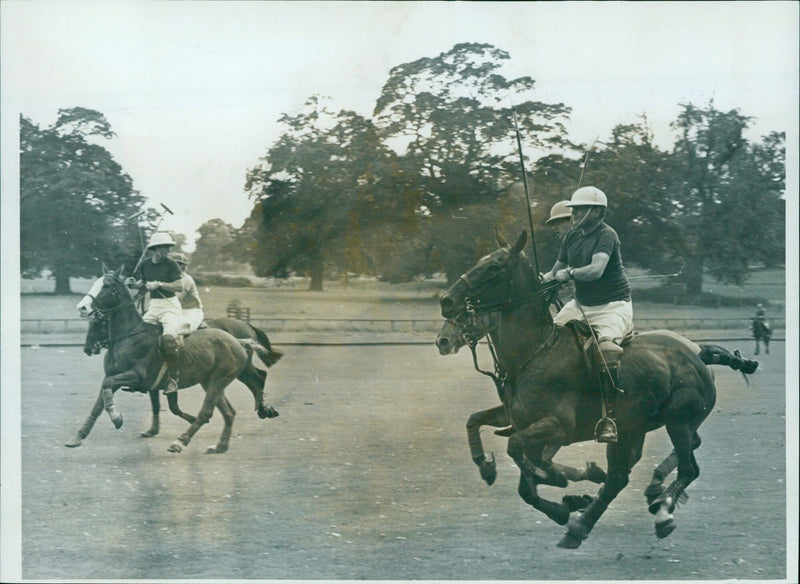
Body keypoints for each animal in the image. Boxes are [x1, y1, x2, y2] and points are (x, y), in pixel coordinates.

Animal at [64, 266, 280, 454]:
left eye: (107, 285)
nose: (82, 307)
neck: (129, 336)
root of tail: (239, 340)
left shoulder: (138, 376)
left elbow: (112, 390)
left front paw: (117, 417)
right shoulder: (122, 378)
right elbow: (100, 401)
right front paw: (78, 437)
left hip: (222, 378)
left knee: (220, 403)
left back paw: (181, 441)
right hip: (210, 381)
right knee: (229, 412)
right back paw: (220, 446)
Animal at [440, 232, 760, 548]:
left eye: (494, 266)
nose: (446, 301)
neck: (535, 352)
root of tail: (699, 354)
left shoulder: (558, 425)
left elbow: (523, 454)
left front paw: (563, 481)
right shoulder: (518, 419)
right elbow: (487, 433)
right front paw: (494, 470)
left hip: (678, 420)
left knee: (687, 467)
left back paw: (660, 510)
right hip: (632, 427)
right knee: (622, 476)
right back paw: (585, 522)